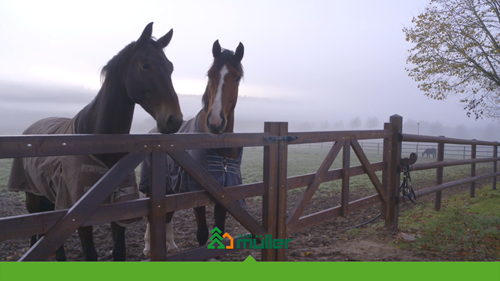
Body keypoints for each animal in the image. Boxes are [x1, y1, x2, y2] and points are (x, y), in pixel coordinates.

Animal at [7, 22, 184, 260]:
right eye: (145, 65)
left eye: (171, 67)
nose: (174, 120)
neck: (100, 143)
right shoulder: (79, 216)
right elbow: (90, 254)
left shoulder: (119, 208)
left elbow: (119, 252)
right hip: (32, 198)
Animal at [140, 39, 245, 256]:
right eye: (210, 75)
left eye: (237, 77)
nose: (215, 122)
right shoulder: (197, 191)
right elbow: (202, 234)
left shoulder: (225, 192)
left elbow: (219, 229)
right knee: (150, 217)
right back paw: (147, 247)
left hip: (170, 188)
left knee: (168, 215)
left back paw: (171, 245)